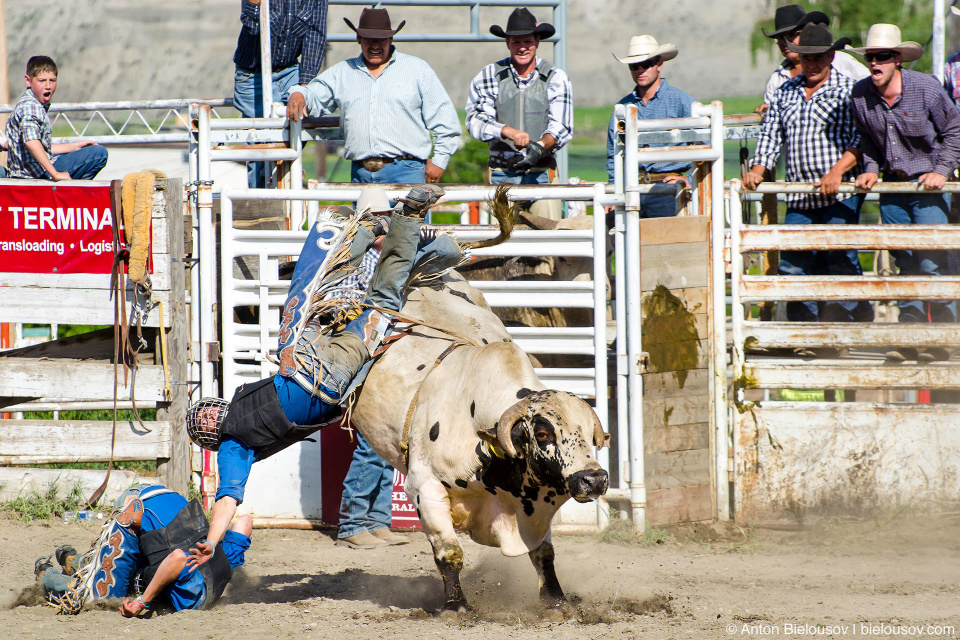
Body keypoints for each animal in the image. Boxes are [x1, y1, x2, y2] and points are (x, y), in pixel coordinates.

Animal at [350, 272, 608, 616]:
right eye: (542, 434)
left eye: (590, 433)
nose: (594, 479)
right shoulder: (423, 488)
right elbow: (449, 554)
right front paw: (455, 606)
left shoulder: (534, 512)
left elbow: (544, 553)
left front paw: (555, 600)